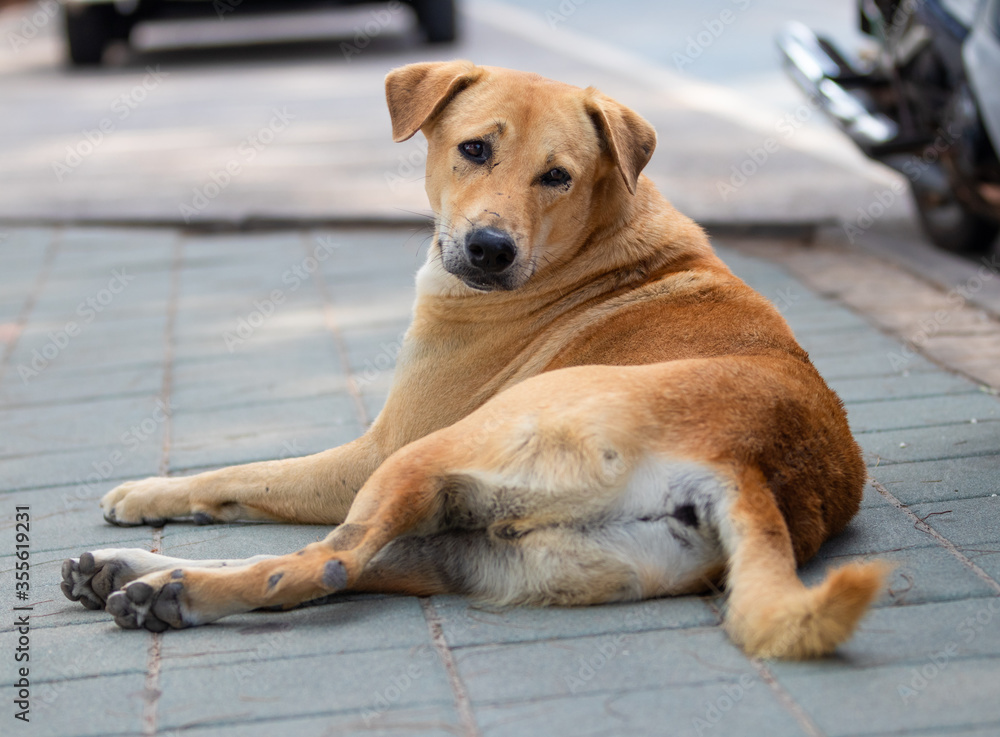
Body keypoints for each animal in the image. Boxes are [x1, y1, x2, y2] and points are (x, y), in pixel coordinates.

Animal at [58, 60, 888, 660]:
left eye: (556, 175)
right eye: (474, 149)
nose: (490, 249)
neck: (592, 247)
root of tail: (752, 461)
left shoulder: (375, 449)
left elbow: (243, 474)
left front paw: (146, 489)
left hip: (427, 458)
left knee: (313, 564)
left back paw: (169, 589)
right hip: (485, 549)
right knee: (337, 565)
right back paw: (137, 576)